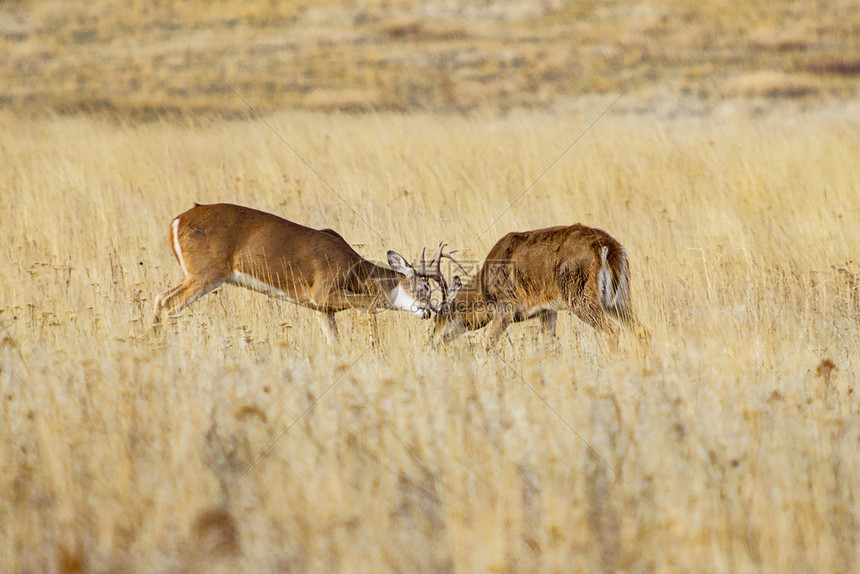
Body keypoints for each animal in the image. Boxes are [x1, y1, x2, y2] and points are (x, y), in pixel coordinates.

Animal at [154, 205, 446, 344]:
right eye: (425, 288)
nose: (432, 311)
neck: (354, 268)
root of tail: (176, 222)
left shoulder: (322, 309)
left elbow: (334, 342)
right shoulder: (324, 292)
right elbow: (373, 305)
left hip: (194, 275)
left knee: (159, 299)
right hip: (206, 273)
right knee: (169, 304)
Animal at [430, 225, 644, 352]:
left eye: (440, 314)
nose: (432, 341)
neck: (485, 291)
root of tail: (609, 246)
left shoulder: (507, 304)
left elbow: (488, 345)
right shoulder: (547, 309)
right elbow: (549, 344)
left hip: (579, 294)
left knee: (612, 331)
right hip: (617, 296)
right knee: (641, 329)